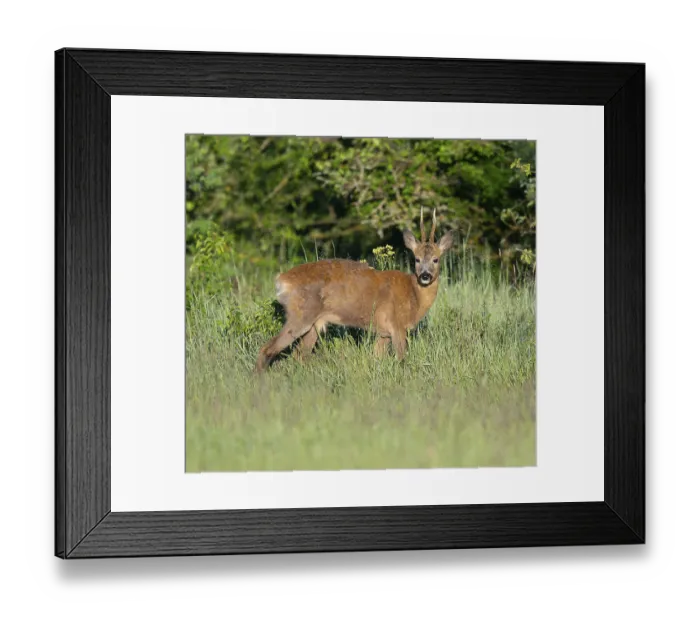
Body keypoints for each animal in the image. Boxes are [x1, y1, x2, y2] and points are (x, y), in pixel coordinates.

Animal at [254, 208, 455, 372]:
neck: (413, 296)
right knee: (266, 349)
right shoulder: (397, 326)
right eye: (417, 259)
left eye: (436, 259)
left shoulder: (383, 332)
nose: (425, 276)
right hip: (300, 315)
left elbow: (375, 359)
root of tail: (281, 280)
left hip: (313, 323)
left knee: (299, 355)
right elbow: (402, 360)